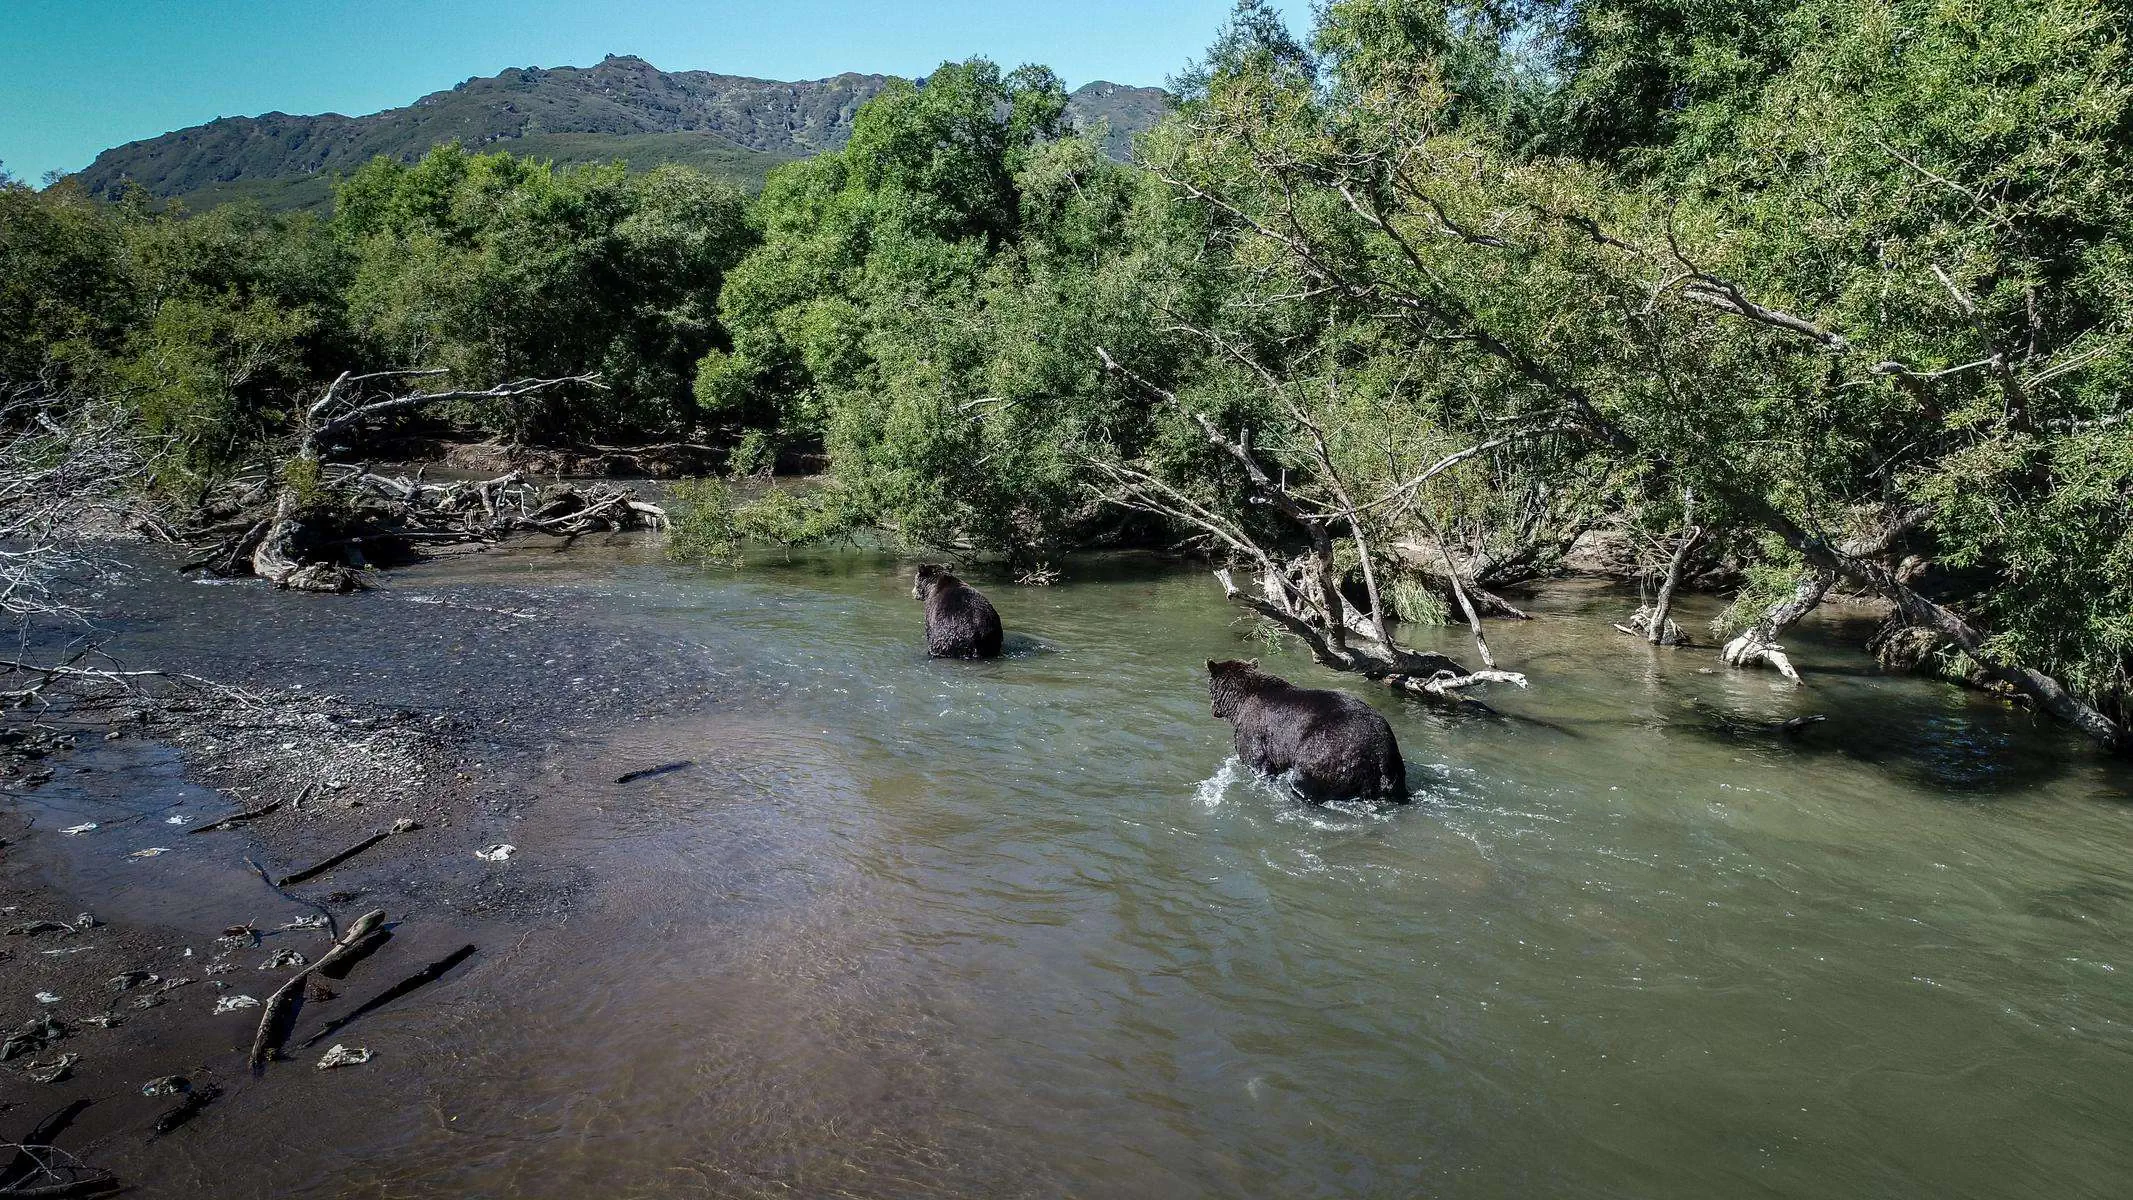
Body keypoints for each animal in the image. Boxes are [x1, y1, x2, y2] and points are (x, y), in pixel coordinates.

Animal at [1211, 660, 1407, 801]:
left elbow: (1257, 761)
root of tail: (1380, 755)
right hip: (1394, 767)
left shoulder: (1252, 730)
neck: (1239, 703)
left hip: (1327, 751)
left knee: (1305, 780)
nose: (1213, 710)